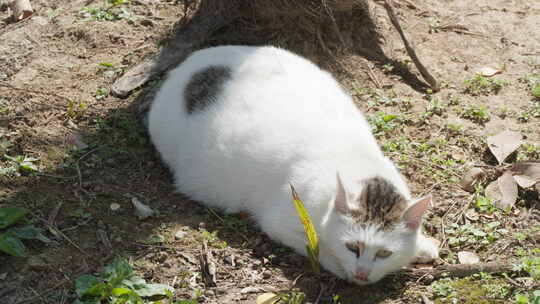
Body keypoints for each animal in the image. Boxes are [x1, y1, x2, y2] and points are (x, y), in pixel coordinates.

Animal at [148, 45, 438, 284]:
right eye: (352, 247)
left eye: (384, 253)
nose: (362, 273)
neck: (357, 162)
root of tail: (186, 66)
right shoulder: (281, 222)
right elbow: (320, 251)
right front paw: (339, 266)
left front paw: (422, 246)